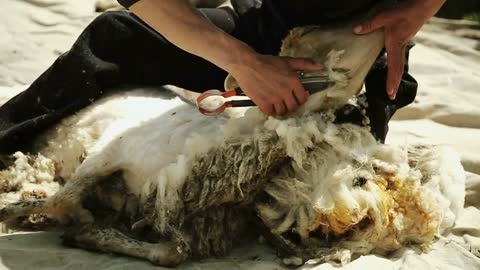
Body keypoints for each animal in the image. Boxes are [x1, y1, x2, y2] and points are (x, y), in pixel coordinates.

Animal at [0, 18, 464, 266]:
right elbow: (65, 197)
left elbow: (172, 252)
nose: (398, 34)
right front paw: (18, 211)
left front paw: (87, 233)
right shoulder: (111, 151)